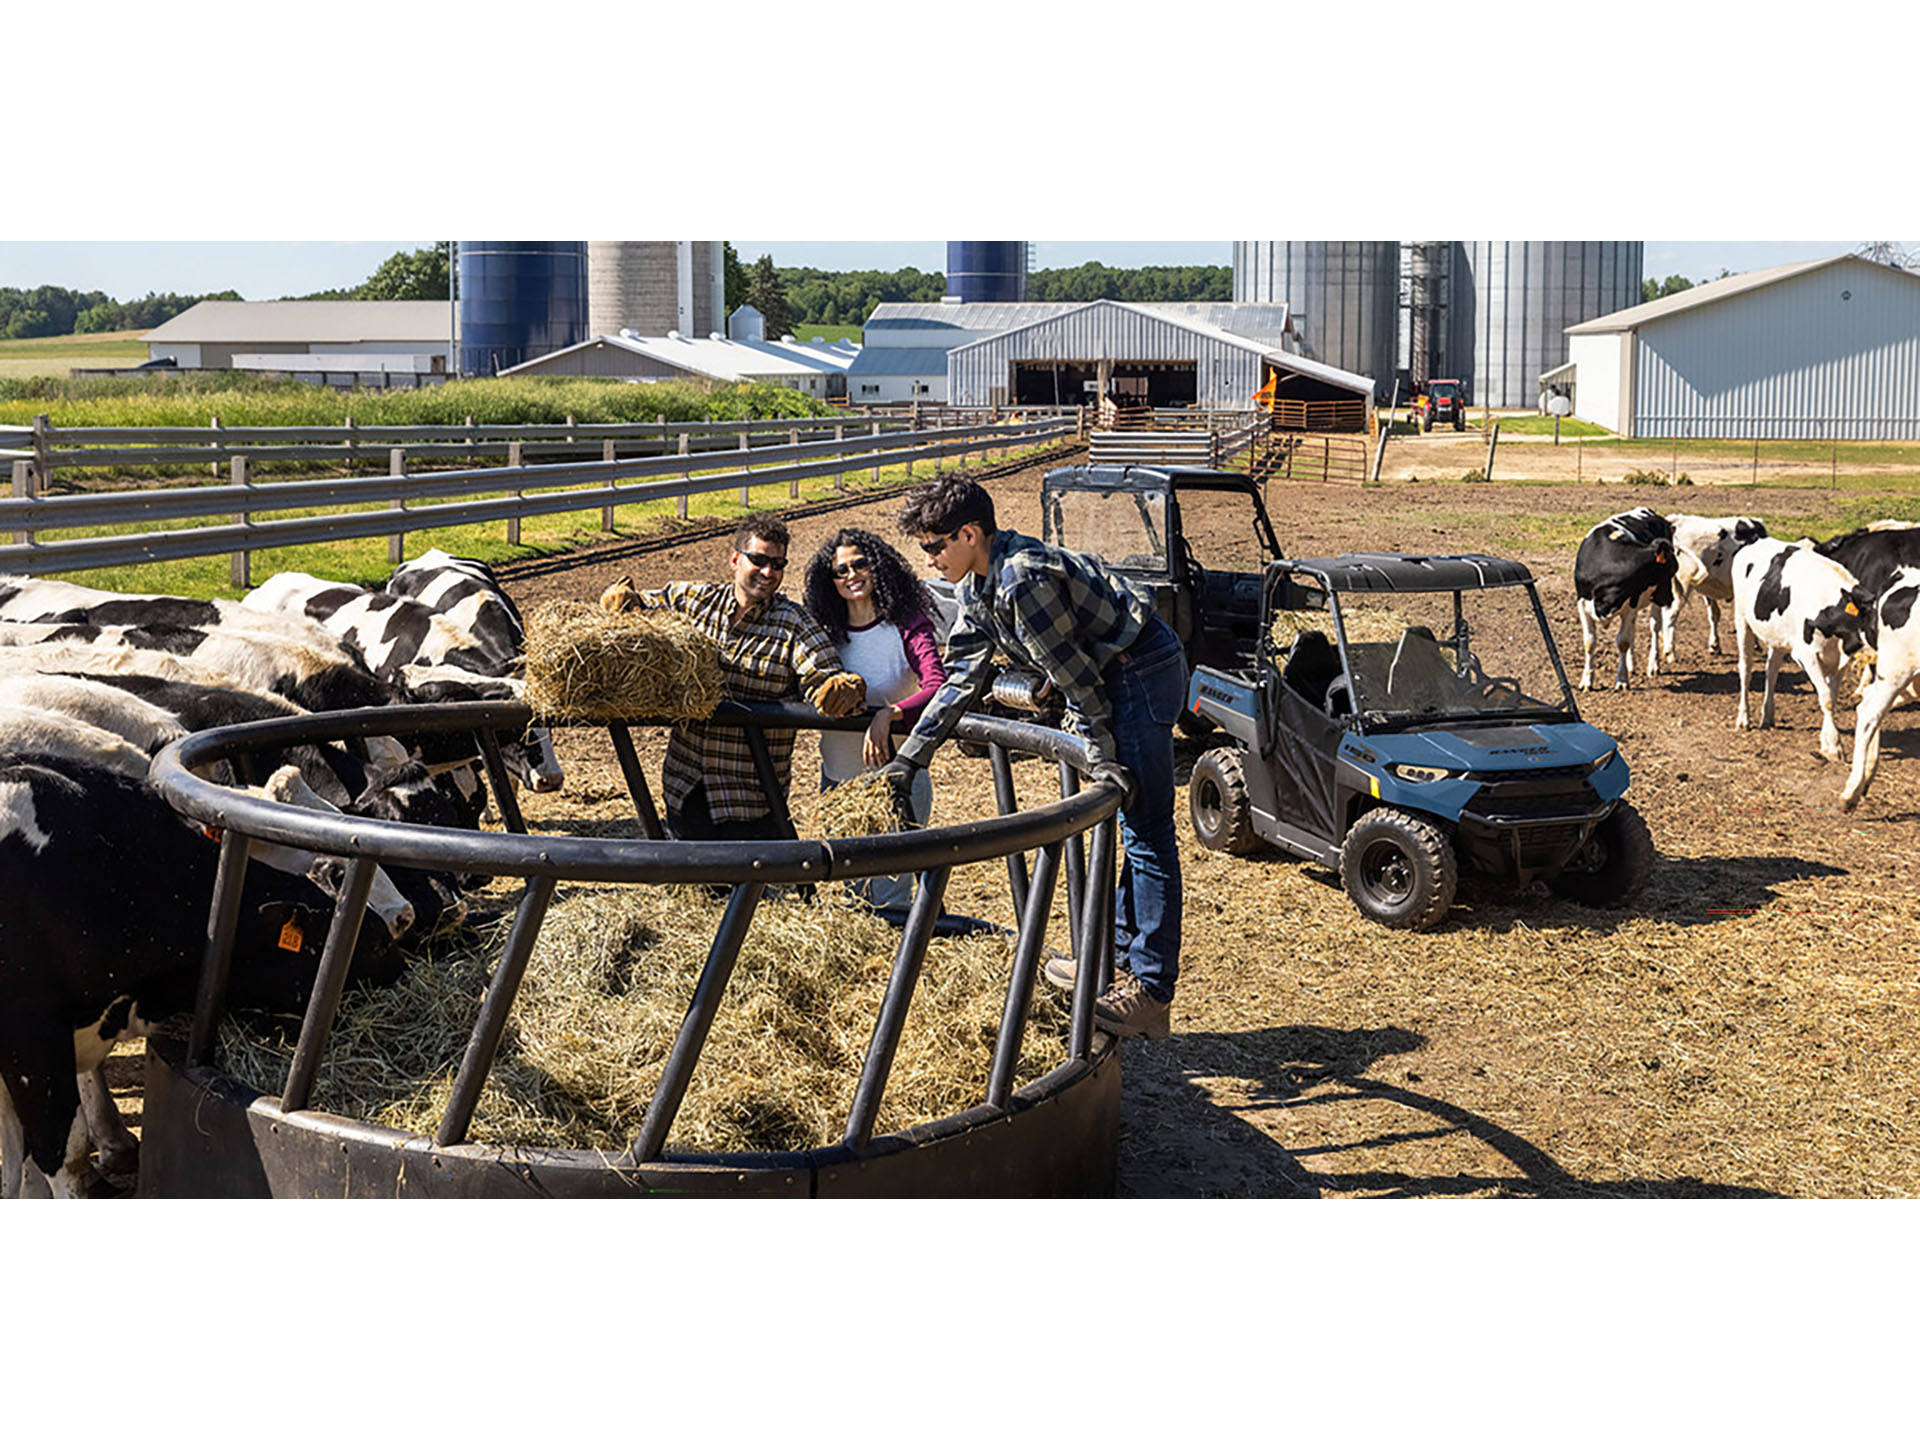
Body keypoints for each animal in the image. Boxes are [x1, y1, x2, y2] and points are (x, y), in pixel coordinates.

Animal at [1574, 506, 1681, 695]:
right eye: (1670, 569)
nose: (1670, 598)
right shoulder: (1583, 604)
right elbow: (1589, 642)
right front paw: (1587, 680)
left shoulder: (1630, 605)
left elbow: (1623, 641)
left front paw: (1622, 680)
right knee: (1633, 629)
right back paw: (1631, 664)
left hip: (1650, 602)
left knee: (1654, 627)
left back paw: (1653, 665)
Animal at [1728, 541, 1873, 768]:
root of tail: (1754, 544)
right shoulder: (1807, 656)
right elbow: (1826, 698)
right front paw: (1834, 746)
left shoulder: (1840, 661)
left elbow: (1831, 697)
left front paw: (1825, 741)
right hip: (1742, 619)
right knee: (1746, 668)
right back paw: (1744, 718)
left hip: (1777, 636)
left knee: (1771, 670)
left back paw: (1767, 716)